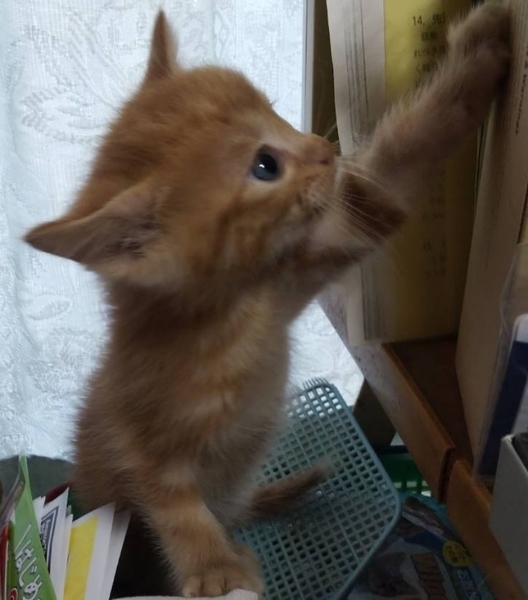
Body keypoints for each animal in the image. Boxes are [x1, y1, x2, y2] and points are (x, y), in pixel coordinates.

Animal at [25, 4, 510, 597]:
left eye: (273, 110)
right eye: (265, 166)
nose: (323, 149)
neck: (234, 316)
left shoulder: (305, 263)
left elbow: (393, 171)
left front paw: (482, 50)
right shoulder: (133, 429)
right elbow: (172, 500)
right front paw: (215, 569)